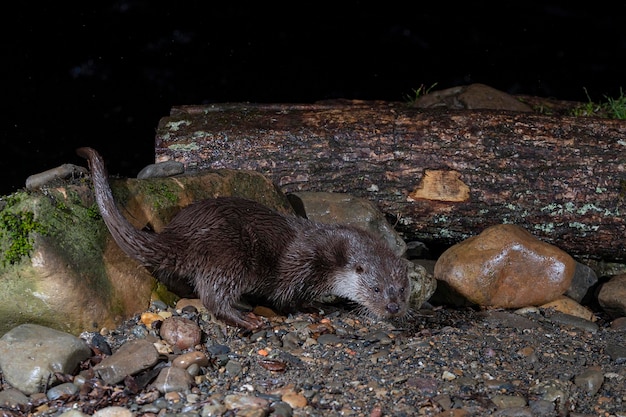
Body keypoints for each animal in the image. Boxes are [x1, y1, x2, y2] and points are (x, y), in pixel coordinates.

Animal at [77, 146, 410, 328]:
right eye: (377, 289)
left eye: (402, 290)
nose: (394, 308)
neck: (332, 253)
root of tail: (182, 233)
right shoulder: (301, 260)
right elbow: (284, 295)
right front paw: (311, 307)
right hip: (230, 254)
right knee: (213, 297)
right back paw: (245, 318)